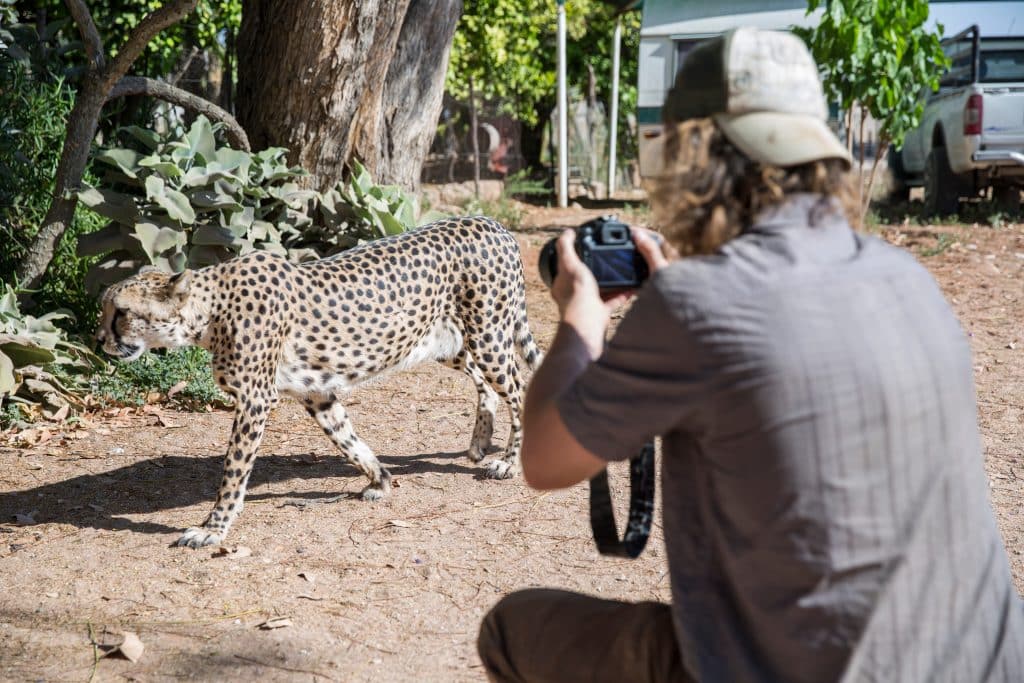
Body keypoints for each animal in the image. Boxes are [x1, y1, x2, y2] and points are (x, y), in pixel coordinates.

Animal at [96, 216, 543, 548]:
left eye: (121, 312)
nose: (99, 340)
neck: (210, 312)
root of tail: (491, 223)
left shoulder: (255, 400)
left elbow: (233, 472)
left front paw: (212, 528)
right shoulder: (317, 393)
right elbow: (349, 441)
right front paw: (381, 480)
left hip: (488, 336)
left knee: (519, 388)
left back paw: (508, 460)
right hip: (446, 343)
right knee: (484, 382)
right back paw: (480, 441)